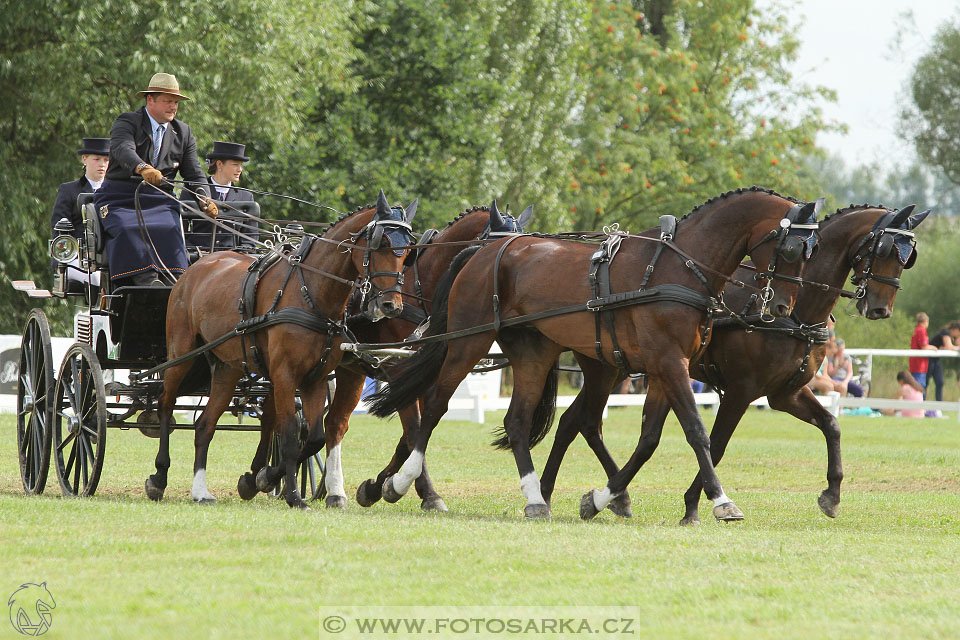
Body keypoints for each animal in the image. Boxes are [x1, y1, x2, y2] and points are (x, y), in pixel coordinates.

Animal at [145, 190, 412, 510]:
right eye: (381, 243)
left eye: (408, 250)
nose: (391, 305)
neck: (311, 292)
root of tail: (195, 267)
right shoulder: (285, 375)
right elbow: (289, 436)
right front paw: (293, 495)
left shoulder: (315, 379)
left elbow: (314, 437)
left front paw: (262, 479)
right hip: (180, 353)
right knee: (165, 403)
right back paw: (159, 477)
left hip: (227, 368)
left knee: (204, 426)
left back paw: (200, 491)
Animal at [233, 202, 532, 508]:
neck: (420, 290)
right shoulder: (400, 373)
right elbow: (415, 430)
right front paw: (423, 492)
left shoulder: (422, 379)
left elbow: (412, 435)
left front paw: (378, 487)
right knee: (278, 417)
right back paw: (259, 476)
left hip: (346, 371)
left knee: (331, 423)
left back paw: (326, 489)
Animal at [368, 185, 816, 520]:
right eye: (792, 249)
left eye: (810, 252)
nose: (782, 308)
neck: (679, 268)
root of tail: (482, 253)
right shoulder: (670, 364)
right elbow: (696, 431)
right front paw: (722, 501)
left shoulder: (667, 367)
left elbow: (651, 438)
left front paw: (602, 497)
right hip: (468, 342)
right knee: (435, 404)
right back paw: (402, 483)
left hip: (534, 352)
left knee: (518, 421)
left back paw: (535, 498)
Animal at [536, 202, 928, 524]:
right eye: (884, 249)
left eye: (908, 257)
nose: (880, 308)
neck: (798, 313)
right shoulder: (741, 390)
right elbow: (717, 443)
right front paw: (697, 504)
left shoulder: (785, 394)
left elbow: (831, 425)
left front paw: (831, 494)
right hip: (610, 369)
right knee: (583, 423)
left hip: (614, 367)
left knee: (574, 423)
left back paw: (568, 493)